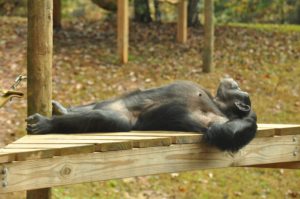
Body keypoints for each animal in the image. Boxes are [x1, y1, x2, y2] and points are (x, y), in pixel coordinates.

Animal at [26, 77, 255, 151]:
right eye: (237, 86)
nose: (235, 82)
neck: (218, 104)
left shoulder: (220, 120)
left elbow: (224, 133)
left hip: (119, 118)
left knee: (99, 117)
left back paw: (45, 123)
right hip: (112, 102)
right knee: (95, 108)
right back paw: (63, 110)